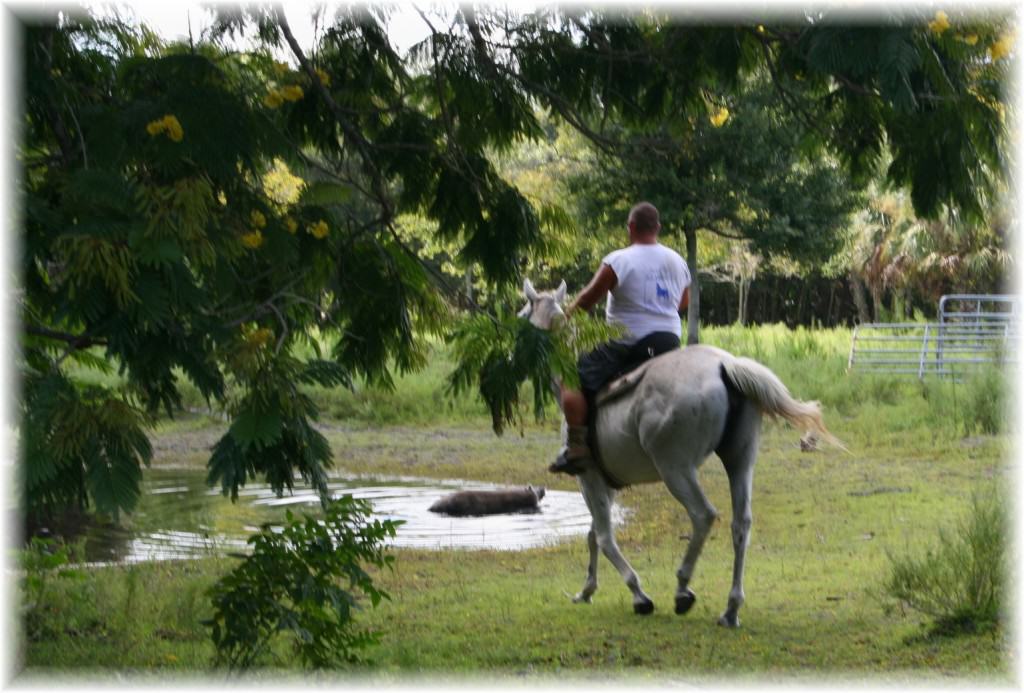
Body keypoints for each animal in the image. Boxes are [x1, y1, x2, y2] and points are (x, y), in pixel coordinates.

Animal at [520, 276, 839, 626]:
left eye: (522, 313)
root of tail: (725, 365)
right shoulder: (606, 482)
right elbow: (593, 533)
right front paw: (587, 590)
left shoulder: (588, 477)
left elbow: (603, 536)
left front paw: (638, 594)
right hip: (740, 460)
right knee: (741, 523)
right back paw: (731, 608)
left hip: (675, 468)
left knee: (703, 515)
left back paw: (683, 588)